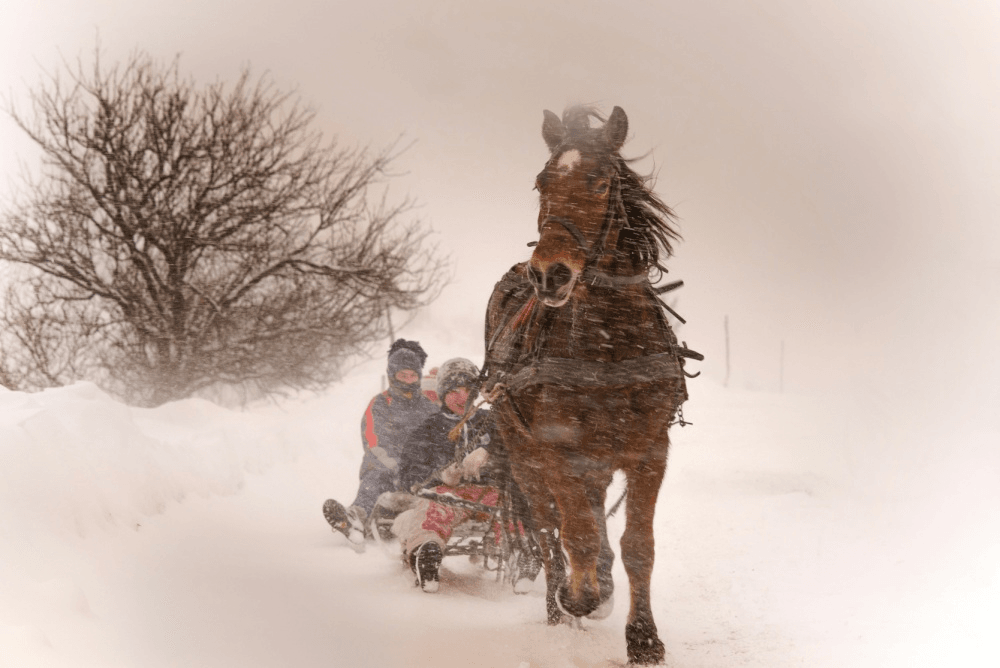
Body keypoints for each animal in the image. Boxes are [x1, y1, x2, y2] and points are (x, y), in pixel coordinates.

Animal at [482, 104, 700, 664]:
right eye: (542, 182)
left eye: (601, 181)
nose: (550, 274)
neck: (610, 344)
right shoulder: (558, 449)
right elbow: (574, 533)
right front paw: (581, 596)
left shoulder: (650, 450)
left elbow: (637, 546)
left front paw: (643, 636)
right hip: (526, 457)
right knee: (546, 528)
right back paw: (562, 607)